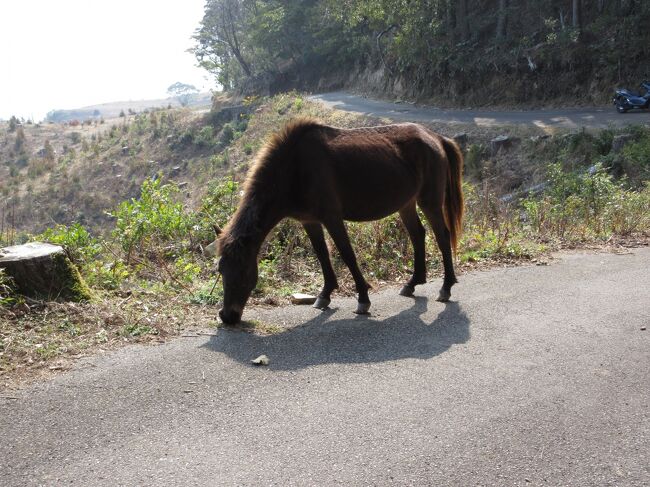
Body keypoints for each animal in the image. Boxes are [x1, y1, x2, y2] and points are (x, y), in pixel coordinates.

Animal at [215, 117, 464, 324]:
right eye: (221, 271)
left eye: (242, 271)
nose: (228, 316)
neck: (295, 167)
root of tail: (436, 137)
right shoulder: (310, 221)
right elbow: (322, 255)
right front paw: (325, 294)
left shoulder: (332, 218)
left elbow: (346, 254)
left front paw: (363, 298)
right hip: (407, 204)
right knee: (417, 235)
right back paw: (412, 283)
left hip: (429, 202)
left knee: (442, 236)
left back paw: (446, 287)